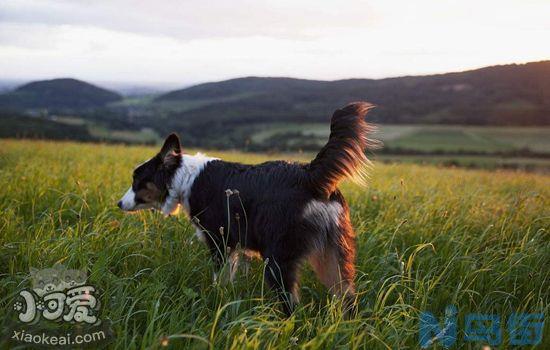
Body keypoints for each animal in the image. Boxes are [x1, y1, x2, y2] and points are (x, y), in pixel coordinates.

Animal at [118, 101, 380, 314]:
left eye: (137, 180)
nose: (119, 203)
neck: (185, 177)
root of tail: (310, 175)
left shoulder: (220, 241)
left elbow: (219, 277)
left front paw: (216, 300)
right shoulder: (235, 246)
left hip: (278, 259)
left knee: (291, 304)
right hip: (332, 255)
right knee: (348, 297)